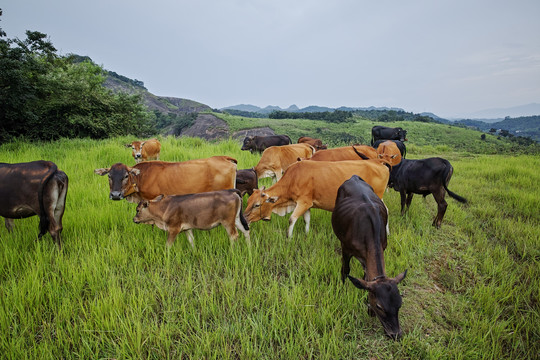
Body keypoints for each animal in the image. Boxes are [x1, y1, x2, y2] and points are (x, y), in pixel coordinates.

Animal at [244, 159, 388, 238]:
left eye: (257, 205)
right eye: (248, 201)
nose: (244, 219)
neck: (293, 177)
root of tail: (377, 161)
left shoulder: (303, 202)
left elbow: (291, 220)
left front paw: (289, 238)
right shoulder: (308, 205)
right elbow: (307, 220)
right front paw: (307, 235)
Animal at [332, 176, 408, 342]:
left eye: (400, 304)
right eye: (380, 306)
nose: (395, 334)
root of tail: (354, 177)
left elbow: (367, 277)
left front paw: (367, 306)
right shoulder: (346, 249)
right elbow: (345, 270)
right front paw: (341, 290)